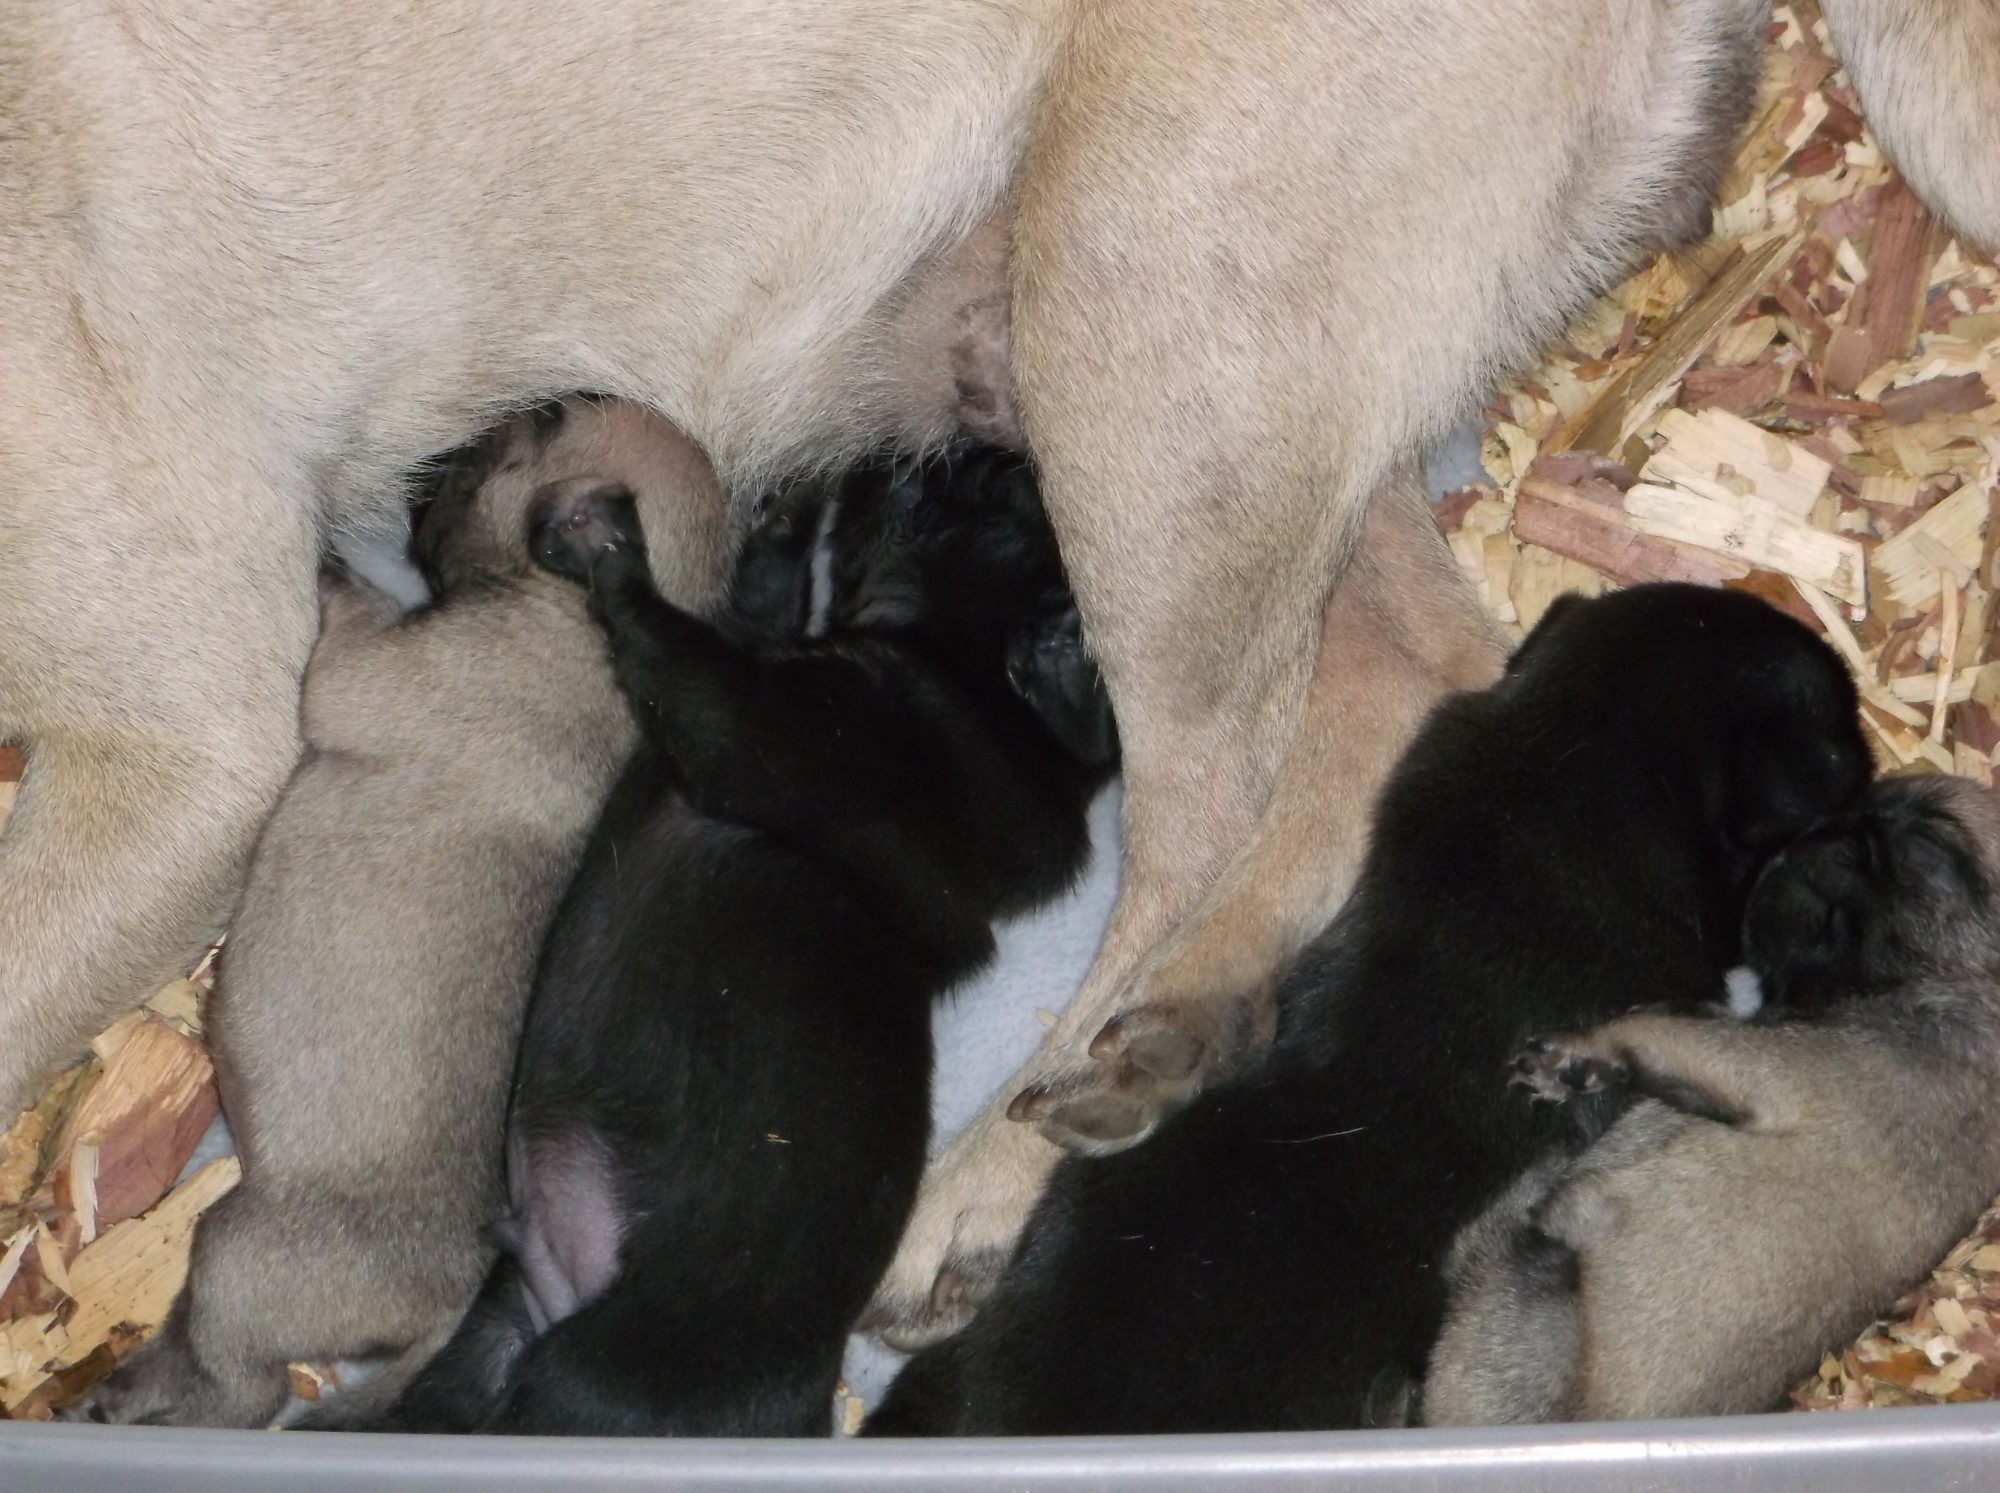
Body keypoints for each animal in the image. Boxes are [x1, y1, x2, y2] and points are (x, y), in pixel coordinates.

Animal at [70, 397, 732, 1429]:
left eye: (543, 422)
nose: (453, 442)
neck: (584, 621)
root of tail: (443, 1304)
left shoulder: (371, 668)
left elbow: (345, 625)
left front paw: (331, 563)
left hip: (238, 1258)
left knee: (240, 1384)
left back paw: (135, 1393)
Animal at [378, 447, 1114, 1435]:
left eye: (998, 496)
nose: (980, 445)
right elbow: (754, 604)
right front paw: (782, 523)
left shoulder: (758, 724)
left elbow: (674, 640)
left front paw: (608, 544)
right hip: (490, 1340)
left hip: (579, 1382)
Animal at [1424, 773, 2000, 1425]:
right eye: (1857, 808)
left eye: (1927, 846)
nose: (1828, 831)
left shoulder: (1760, 1066)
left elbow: (1646, 1029)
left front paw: (1578, 1055)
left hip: (1535, 1267)